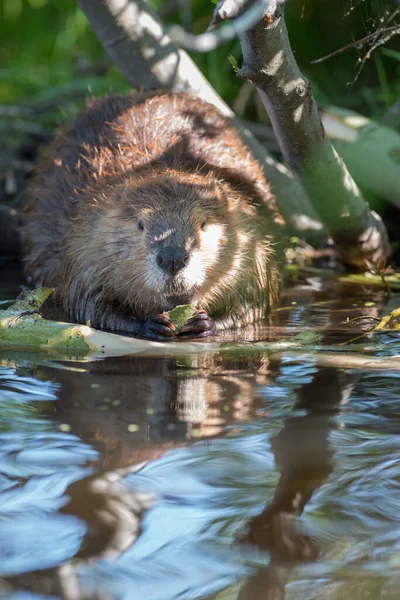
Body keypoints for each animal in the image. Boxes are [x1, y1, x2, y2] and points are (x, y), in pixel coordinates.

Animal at [20, 91, 282, 340]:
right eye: (140, 224)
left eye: (203, 223)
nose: (173, 259)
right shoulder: (84, 247)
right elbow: (85, 304)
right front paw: (150, 324)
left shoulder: (253, 248)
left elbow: (253, 304)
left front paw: (204, 323)